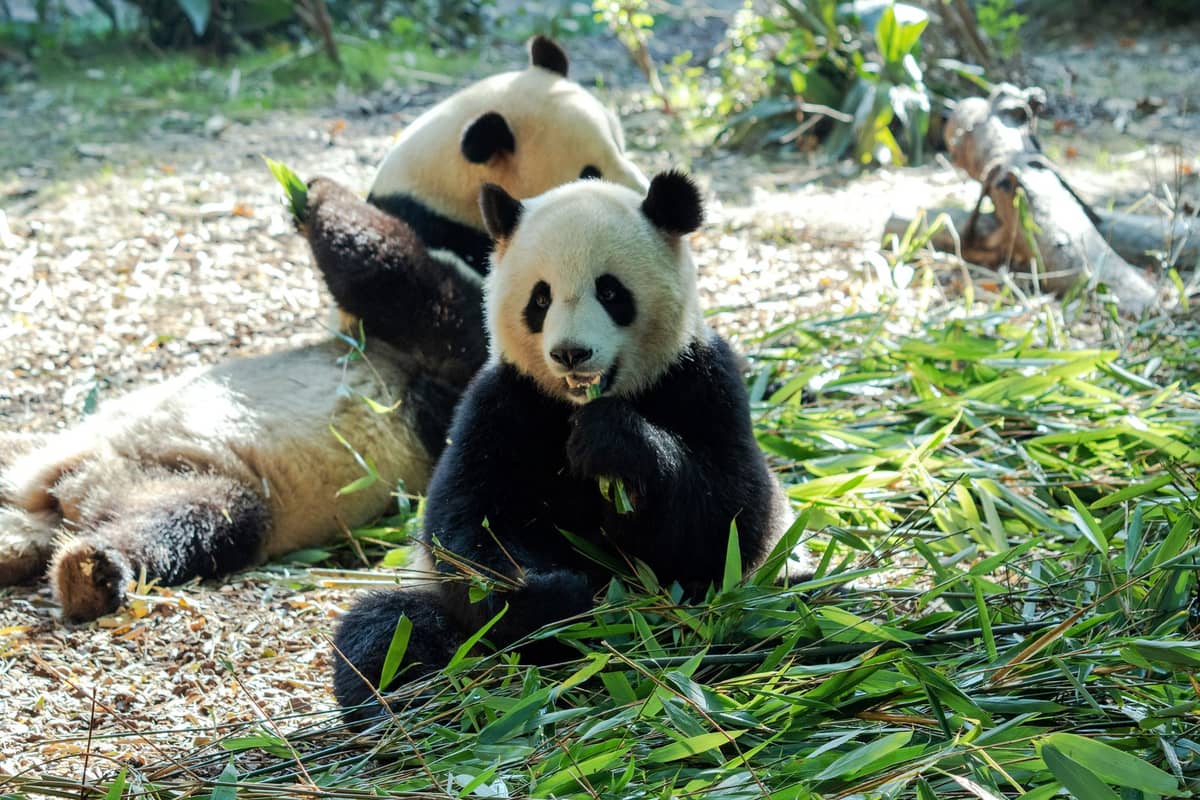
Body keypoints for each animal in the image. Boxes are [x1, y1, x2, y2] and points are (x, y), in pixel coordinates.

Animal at [0, 36, 647, 622]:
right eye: (593, 164)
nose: (643, 196)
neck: (443, 210)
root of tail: (63, 488)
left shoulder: (462, 325)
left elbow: (407, 288)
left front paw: (315, 194)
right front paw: (304, 188)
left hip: (201, 480)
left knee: (189, 519)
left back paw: (89, 570)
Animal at [331, 171, 799, 713]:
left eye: (611, 291)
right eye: (540, 299)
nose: (571, 354)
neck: (576, 404)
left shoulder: (701, 378)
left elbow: (729, 518)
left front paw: (611, 442)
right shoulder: (505, 401)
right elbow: (467, 527)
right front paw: (554, 595)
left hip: (754, 598)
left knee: (768, 614)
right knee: (388, 631)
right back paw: (413, 691)